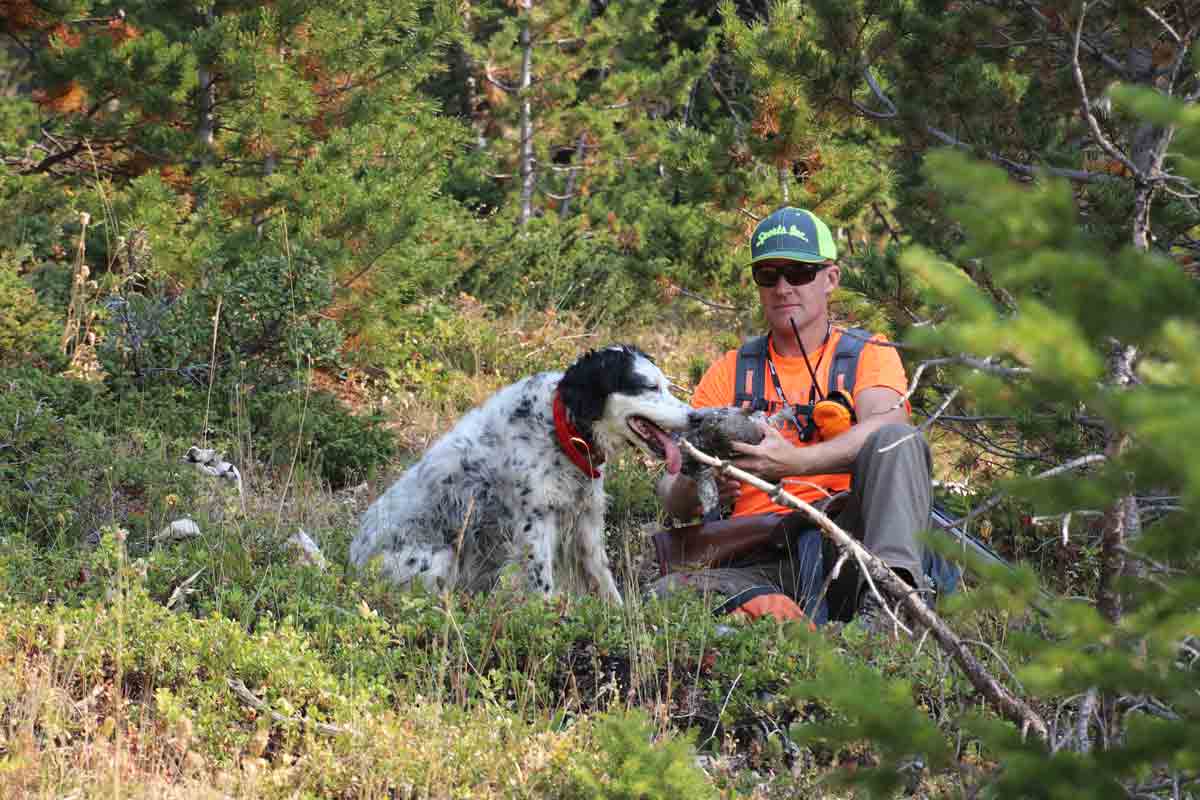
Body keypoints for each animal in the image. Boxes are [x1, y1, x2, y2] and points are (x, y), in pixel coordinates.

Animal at [348, 347, 691, 604]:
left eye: (666, 385)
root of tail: (351, 566)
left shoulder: (586, 519)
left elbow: (604, 579)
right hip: (438, 558)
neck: (561, 430)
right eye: (649, 387)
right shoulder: (535, 523)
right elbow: (543, 583)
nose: (695, 416)